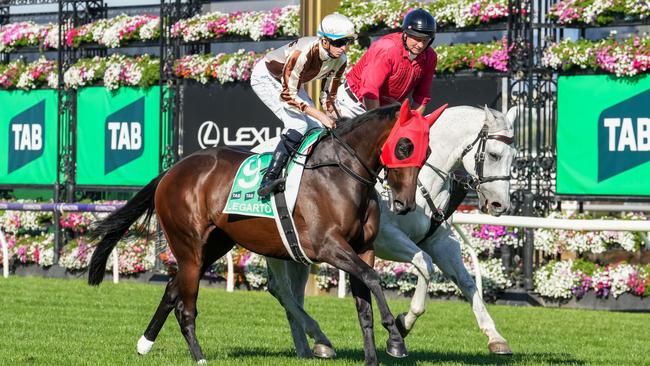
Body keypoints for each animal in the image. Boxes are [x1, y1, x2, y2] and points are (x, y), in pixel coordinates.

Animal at [86, 101, 438, 366]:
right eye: (404, 146)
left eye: (427, 151)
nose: (405, 204)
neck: (341, 173)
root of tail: (173, 170)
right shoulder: (327, 246)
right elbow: (374, 279)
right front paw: (396, 337)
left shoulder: (362, 249)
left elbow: (365, 300)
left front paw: (374, 355)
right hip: (189, 245)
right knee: (186, 306)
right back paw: (199, 357)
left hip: (213, 245)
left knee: (173, 289)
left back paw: (144, 344)